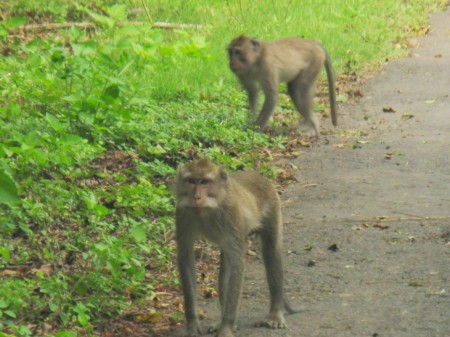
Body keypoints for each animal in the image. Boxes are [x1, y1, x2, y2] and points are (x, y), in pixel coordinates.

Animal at [174, 158, 298, 336]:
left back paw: (274, 313)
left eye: (204, 182)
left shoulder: (231, 214)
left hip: (273, 207)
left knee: (271, 252)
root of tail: (261, 177)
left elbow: (237, 263)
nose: (196, 196)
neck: (207, 208)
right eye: (191, 181)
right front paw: (192, 324)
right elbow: (186, 257)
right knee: (226, 264)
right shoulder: (183, 213)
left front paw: (226, 328)